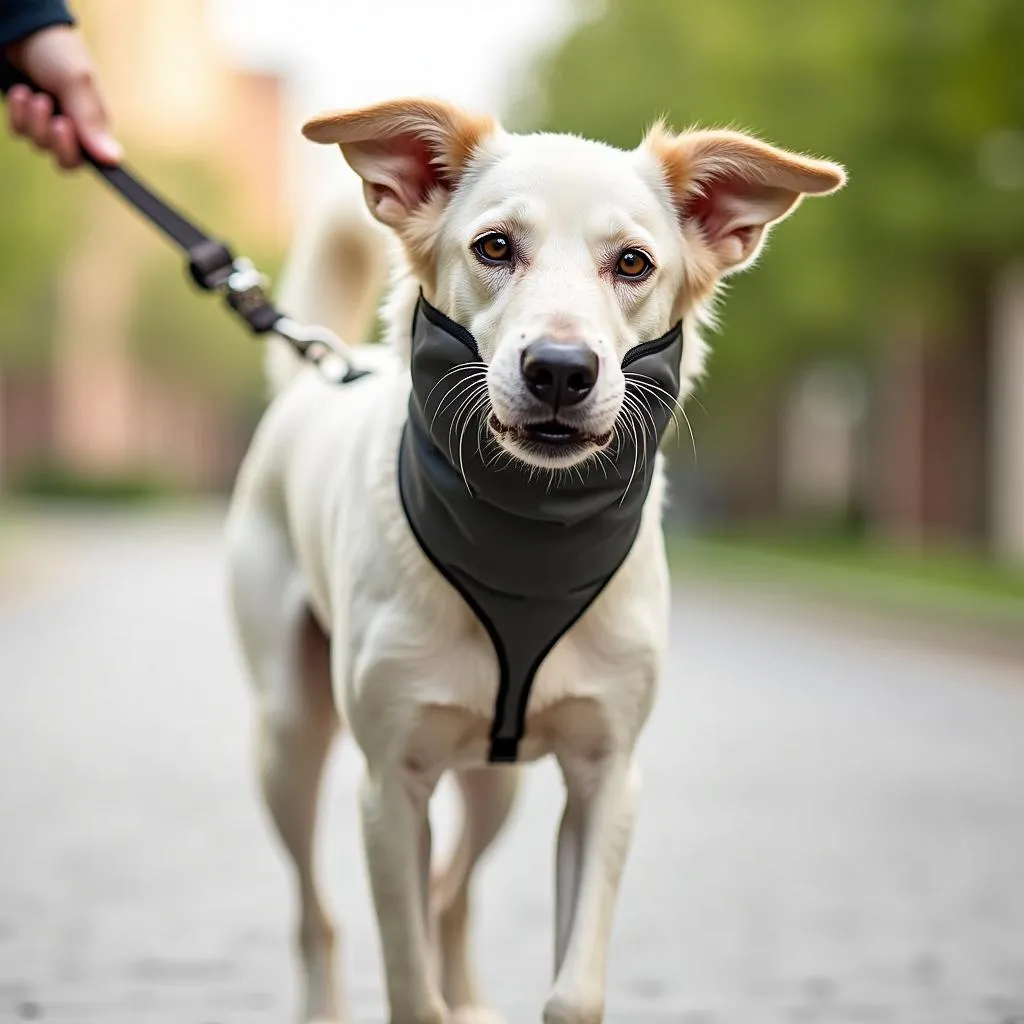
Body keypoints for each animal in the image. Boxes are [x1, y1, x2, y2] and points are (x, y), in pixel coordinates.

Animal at [228, 97, 843, 1024]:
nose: (559, 369)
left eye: (632, 263)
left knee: (451, 893)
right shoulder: (391, 787)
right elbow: (410, 990)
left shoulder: (607, 779)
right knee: (320, 915)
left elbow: (572, 991)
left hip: (496, 783)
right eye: (494, 247)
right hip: (289, 741)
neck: (529, 534)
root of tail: (325, 372)